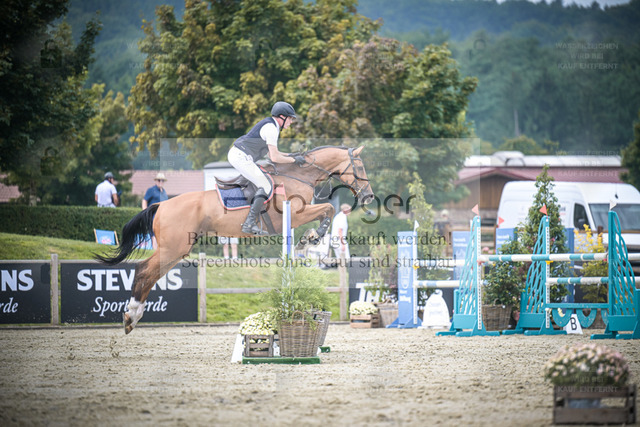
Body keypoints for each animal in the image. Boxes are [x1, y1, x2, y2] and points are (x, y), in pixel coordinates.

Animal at [96, 145, 374, 334]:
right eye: (360, 167)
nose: (369, 196)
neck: (298, 175)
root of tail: (161, 204)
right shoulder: (295, 214)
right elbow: (328, 208)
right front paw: (312, 237)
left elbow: (326, 209)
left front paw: (308, 239)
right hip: (173, 248)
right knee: (144, 270)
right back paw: (131, 316)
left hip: (175, 251)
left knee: (151, 275)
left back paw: (134, 316)